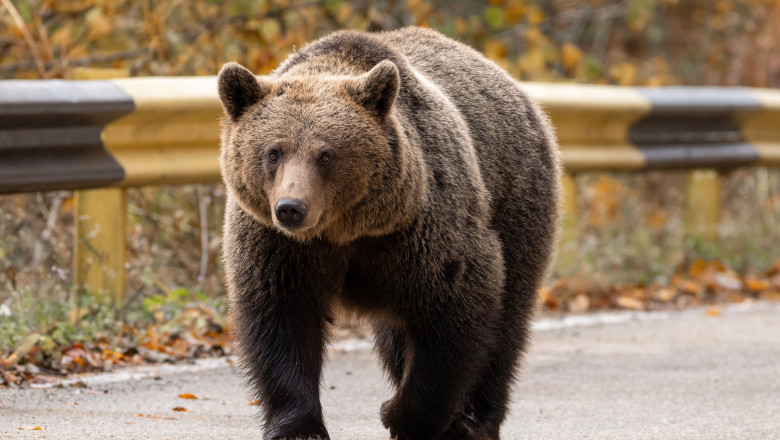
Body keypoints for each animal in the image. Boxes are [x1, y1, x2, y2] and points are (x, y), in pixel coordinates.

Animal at [218, 25, 560, 438]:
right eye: (273, 152)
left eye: (326, 154)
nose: (290, 208)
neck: (346, 230)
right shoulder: (279, 246)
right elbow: (283, 318)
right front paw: (298, 426)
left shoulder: (423, 231)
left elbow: (453, 313)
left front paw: (403, 415)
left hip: (518, 201)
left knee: (508, 319)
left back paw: (477, 418)